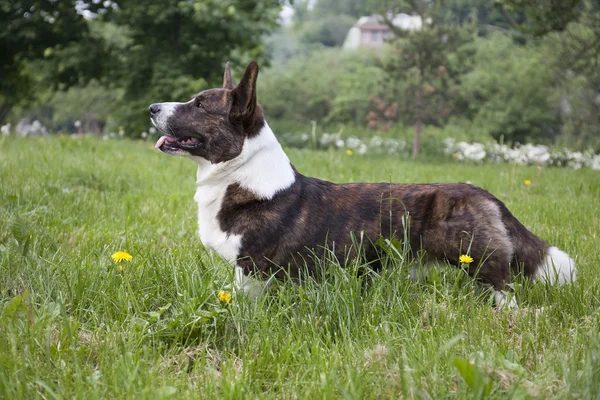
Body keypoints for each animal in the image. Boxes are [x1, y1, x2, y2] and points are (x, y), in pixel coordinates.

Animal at [150, 61, 576, 306]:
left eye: (200, 105)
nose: (152, 108)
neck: (240, 172)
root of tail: (487, 195)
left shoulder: (251, 271)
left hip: (482, 265)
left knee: (506, 296)